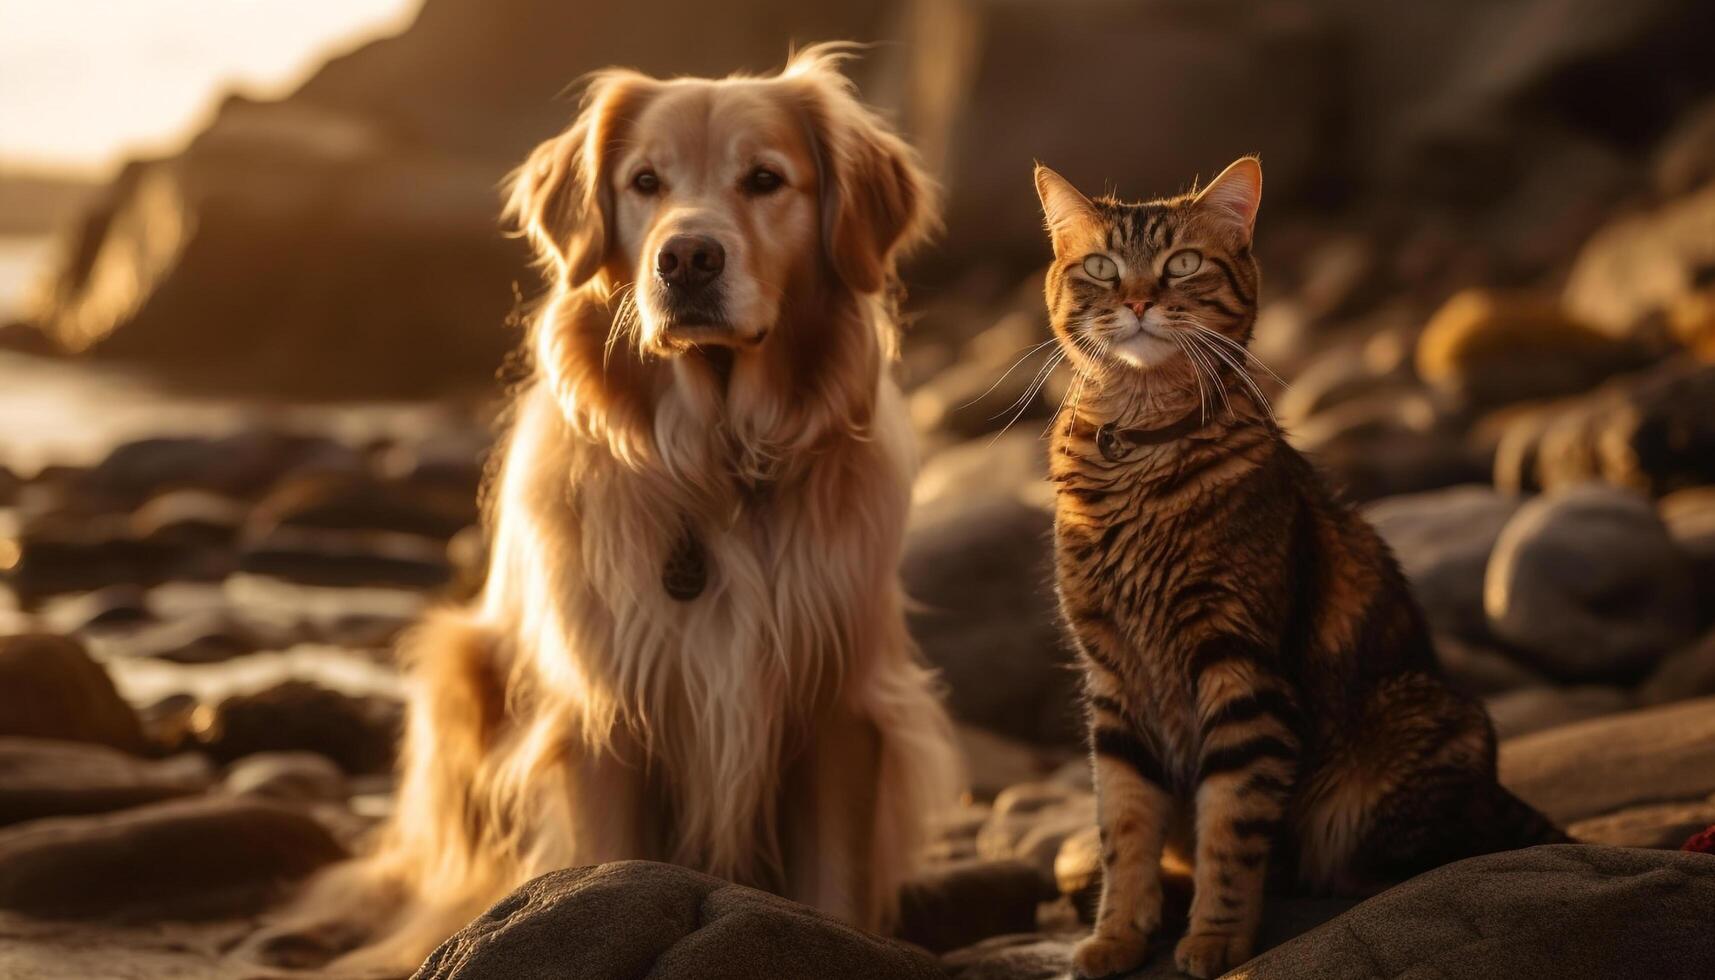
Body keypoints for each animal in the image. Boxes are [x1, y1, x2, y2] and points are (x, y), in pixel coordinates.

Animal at [274, 44, 960, 974]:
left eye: (765, 179)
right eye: (644, 182)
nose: (687, 259)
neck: (716, 466)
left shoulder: (842, 699)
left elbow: (833, 885)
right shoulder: (601, 713)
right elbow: (605, 864)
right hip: (462, 673)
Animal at [1029, 157, 1570, 974]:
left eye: (1181, 264)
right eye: (1100, 267)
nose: (1138, 301)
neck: (1139, 444)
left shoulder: (1241, 669)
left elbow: (1230, 826)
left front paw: (1216, 939)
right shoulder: (1113, 679)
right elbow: (1123, 822)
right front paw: (1118, 934)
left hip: (1417, 723)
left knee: (1424, 853)